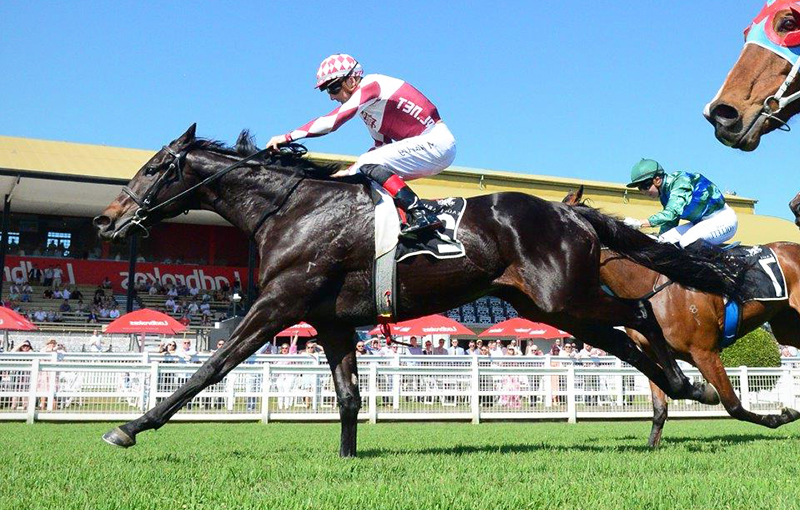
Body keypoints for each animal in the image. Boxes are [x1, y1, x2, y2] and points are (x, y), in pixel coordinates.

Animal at [564, 186, 800, 446]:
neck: (650, 283)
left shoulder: (705, 353)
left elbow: (733, 405)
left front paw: (783, 416)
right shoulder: (654, 354)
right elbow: (660, 407)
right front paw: (651, 445)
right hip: (787, 328)